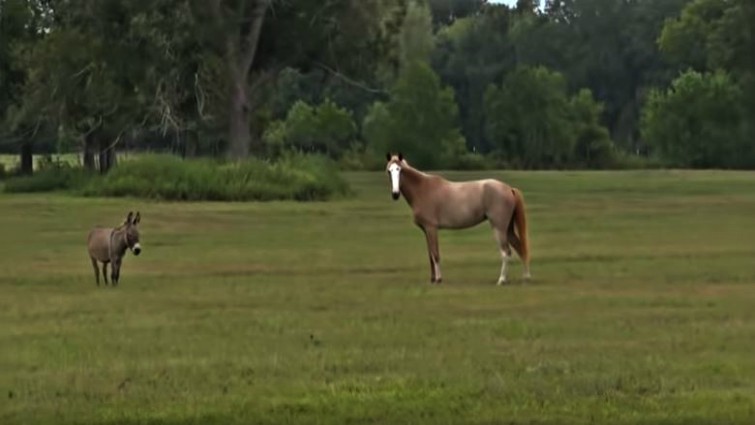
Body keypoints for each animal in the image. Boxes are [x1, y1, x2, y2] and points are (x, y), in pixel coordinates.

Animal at [385, 153, 530, 285]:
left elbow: (435, 254)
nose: (395, 194)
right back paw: (526, 277)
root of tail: (509, 189)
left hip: (499, 228)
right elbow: (430, 255)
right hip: (508, 229)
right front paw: (432, 279)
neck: (422, 189)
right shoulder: (426, 230)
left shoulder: (431, 228)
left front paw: (438, 279)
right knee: (520, 247)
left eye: (400, 170)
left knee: (506, 252)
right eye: (389, 171)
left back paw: (502, 279)